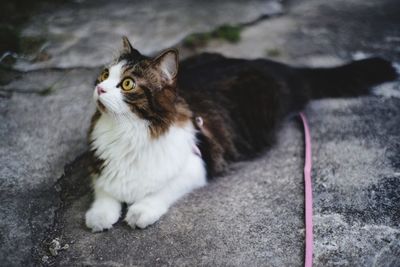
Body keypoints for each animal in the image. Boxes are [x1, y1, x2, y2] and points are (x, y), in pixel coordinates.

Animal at [84, 36, 396, 232]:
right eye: (104, 74)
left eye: (127, 84)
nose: (99, 88)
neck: (128, 131)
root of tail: (274, 65)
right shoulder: (100, 165)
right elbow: (104, 189)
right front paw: (100, 215)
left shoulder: (197, 163)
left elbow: (163, 189)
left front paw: (141, 210)